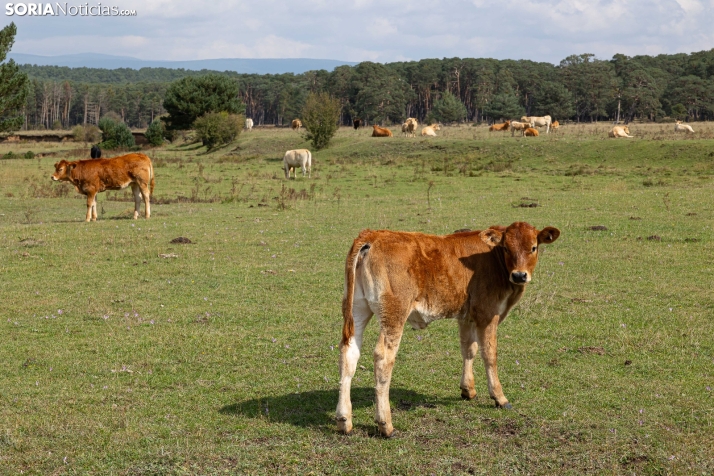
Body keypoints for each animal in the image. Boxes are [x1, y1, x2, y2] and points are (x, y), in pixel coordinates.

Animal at [336, 221, 560, 436]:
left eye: (533, 247)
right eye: (506, 248)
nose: (520, 275)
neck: (493, 259)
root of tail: (372, 235)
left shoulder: (467, 316)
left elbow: (469, 349)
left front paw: (468, 389)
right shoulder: (488, 314)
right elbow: (489, 354)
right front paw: (499, 397)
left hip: (357, 308)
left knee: (349, 353)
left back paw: (344, 420)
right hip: (394, 314)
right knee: (383, 358)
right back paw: (385, 425)